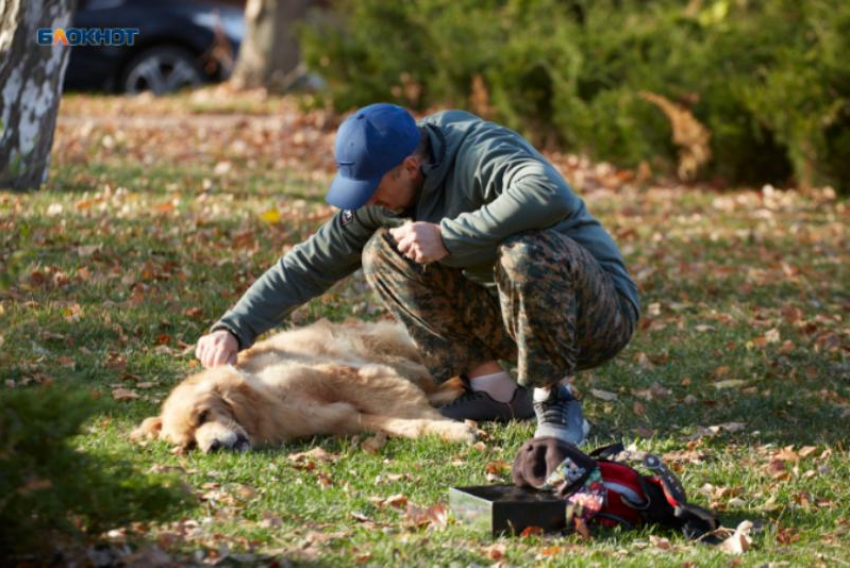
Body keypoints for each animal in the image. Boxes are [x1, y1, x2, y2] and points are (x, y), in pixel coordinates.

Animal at [132, 320, 470, 452]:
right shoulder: (345, 416)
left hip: (403, 360)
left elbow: (409, 408)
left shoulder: (346, 377)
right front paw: (448, 430)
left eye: (203, 416)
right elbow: (402, 423)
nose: (212, 447)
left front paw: (456, 430)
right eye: (188, 445)